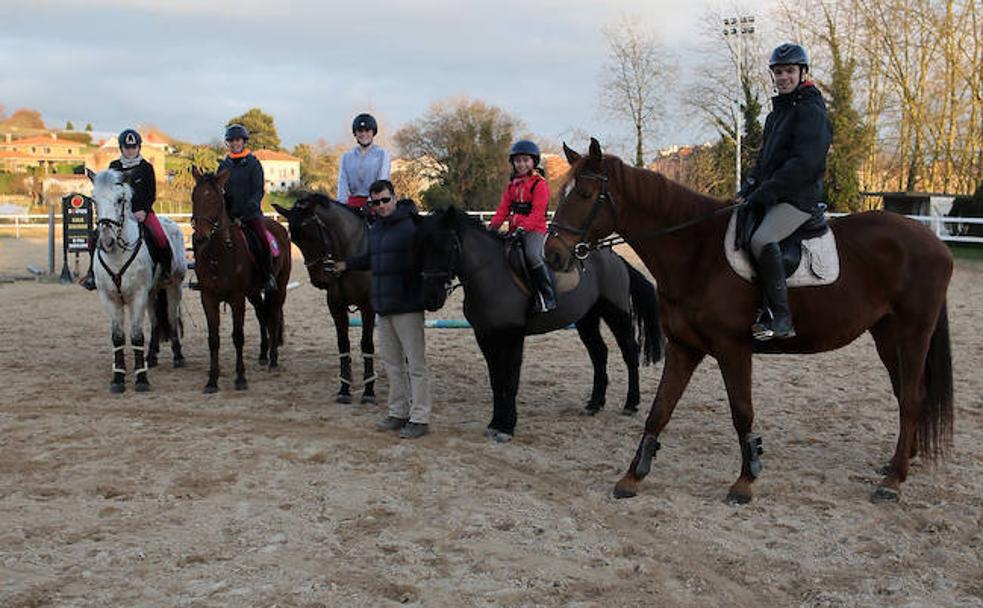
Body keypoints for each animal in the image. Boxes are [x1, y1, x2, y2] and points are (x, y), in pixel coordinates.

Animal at [90, 169, 188, 392]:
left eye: (120, 200)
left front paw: (141, 379)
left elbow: (136, 336)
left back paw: (178, 357)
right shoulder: (110, 299)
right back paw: (150, 357)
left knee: (170, 318)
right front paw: (118, 377)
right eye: (94, 200)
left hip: (173, 287)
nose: (106, 241)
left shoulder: (137, 296)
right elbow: (118, 337)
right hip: (152, 293)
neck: (117, 255)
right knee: (155, 322)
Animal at [188, 167, 288, 394]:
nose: (200, 238)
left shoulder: (236, 299)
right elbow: (213, 340)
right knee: (262, 314)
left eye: (216, 198)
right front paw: (212, 381)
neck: (218, 254)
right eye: (194, 197)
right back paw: (263, 354)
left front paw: (241, 378)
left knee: (273, 314)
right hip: (253, 292)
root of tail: (277, 225)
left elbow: (238, 336)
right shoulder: (208, 298)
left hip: (279, 287)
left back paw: (273, 359)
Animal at [272, 195, 376, 404]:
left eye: (314, 235)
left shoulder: (368, 307)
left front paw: (369, 391)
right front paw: (344, 388)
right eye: (295, 240)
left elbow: (367, 344)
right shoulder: (336, 307)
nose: (319, 280)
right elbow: (343, 344)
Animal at [416, 205, 660, 442]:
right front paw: (495, 423)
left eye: (449, 246)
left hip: (617, 314)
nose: (431, 298)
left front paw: (506, 427)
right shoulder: (484, 335)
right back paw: (594, 404)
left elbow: (510, 381)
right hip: (587, 319)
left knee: (629, 353)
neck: (490, 275)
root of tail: (614, 257)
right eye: (422, 246)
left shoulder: (513, 336)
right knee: (599, 353)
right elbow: (496, 381)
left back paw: (631, 404)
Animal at [544, 139, 952, 504]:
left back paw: (893, 481)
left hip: (914, 333)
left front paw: (745, 481)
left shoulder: (732, 348)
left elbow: (742, 411)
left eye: (584, 194)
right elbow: (660, 409)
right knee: (904, 393)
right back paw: (898, 463)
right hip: (887, 334)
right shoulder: (684, 347)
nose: (553, 254)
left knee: (912, 398)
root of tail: (932, 241)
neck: (697, 252)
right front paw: (633, 476)